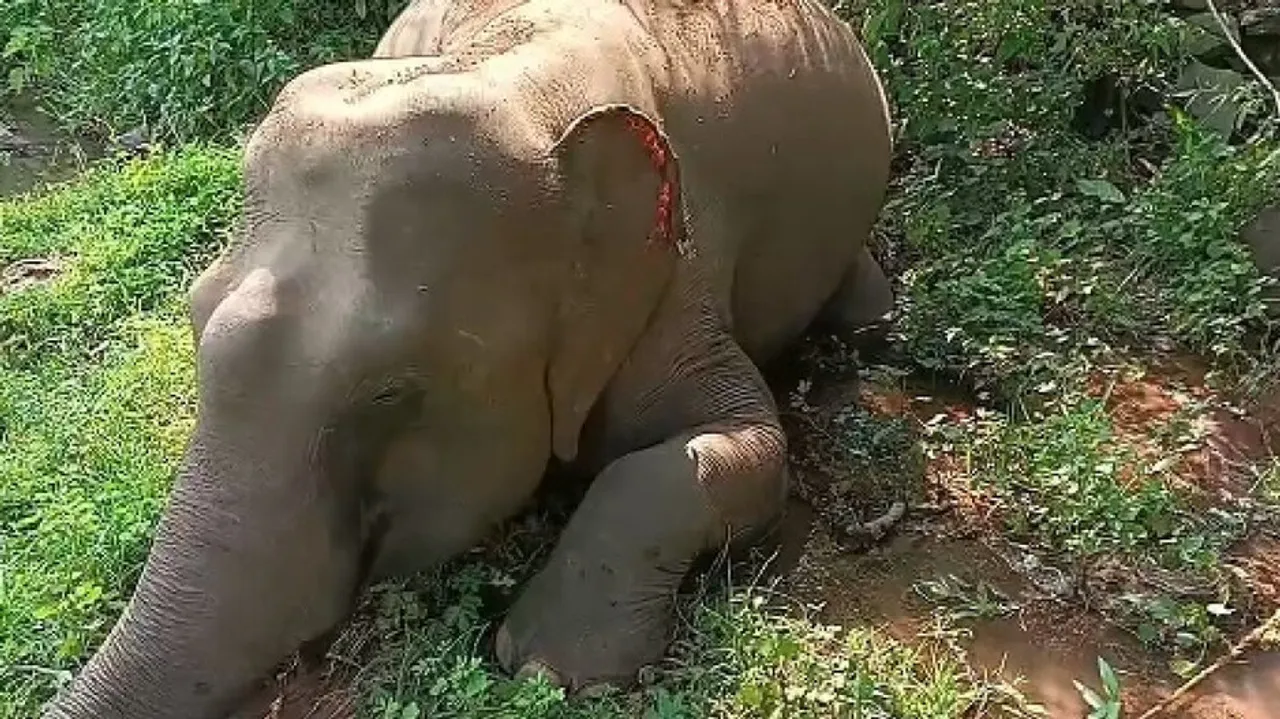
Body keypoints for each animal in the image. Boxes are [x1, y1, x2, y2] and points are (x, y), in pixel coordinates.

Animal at [42, 0, 894, 716]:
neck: (507, 72)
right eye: (194, 317)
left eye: (388, 391)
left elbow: (751, 443)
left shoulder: (681, 273)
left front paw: (554, 670)